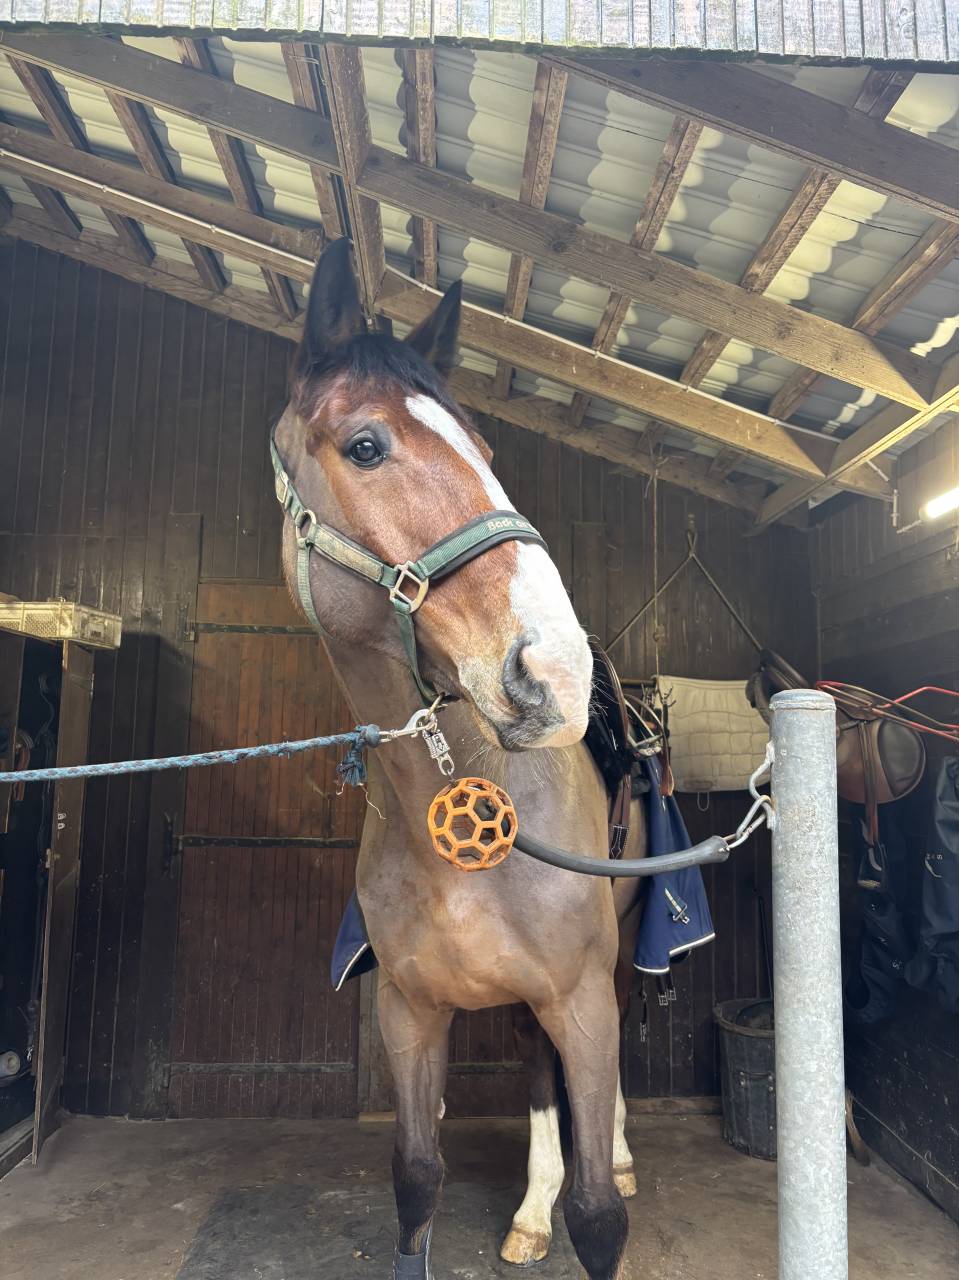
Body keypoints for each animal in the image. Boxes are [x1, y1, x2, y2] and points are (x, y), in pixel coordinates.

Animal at [271, 238, 647, 1280]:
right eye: (365, 446)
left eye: (485, 451)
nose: (553, 669)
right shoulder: (409, 1012)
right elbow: (415, 1182)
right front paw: (532, 1204)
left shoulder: (583, 1000)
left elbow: (600, 1218)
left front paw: (590, 1187)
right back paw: (528, 1210)